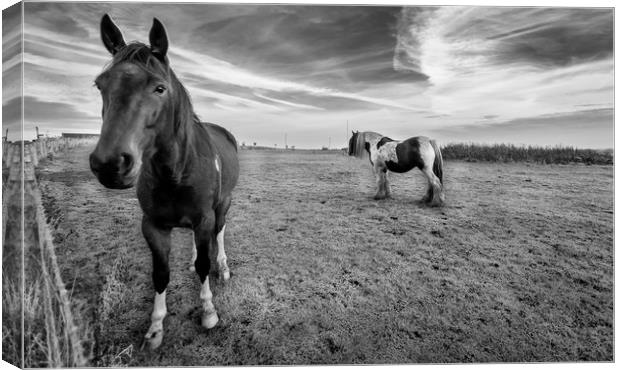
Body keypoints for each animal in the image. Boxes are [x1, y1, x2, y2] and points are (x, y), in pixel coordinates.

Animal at [89, 15, 240, 350]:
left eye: (160, 88)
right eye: (100, 85)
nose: (110, 164)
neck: (176, 172)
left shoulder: (205, 216)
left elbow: (205, 265)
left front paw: (208, 311)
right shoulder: (153, 225)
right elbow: (161, 273)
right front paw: (156, 327)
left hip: (222, 206)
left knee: (219, 235)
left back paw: (222, 267)